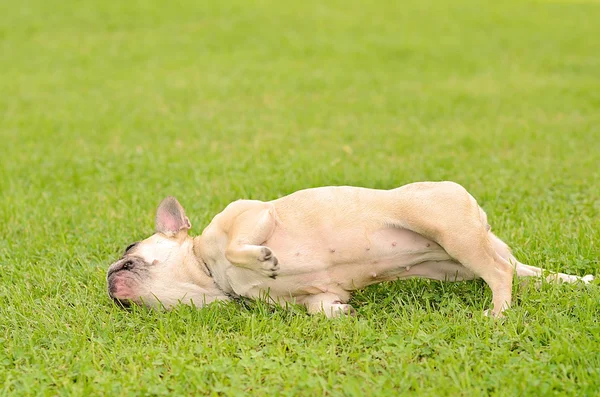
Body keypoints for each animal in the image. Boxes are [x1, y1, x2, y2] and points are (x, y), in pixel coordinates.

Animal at [105, 182, 592, 316]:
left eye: (129, 249)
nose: (108, 274)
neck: (211, 274)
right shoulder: (317, 295)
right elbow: (322, 307)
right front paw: (343, 315)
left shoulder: (251, 216)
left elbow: (244, 244)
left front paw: (263, 260)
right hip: (454, 264)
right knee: (512, 269)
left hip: (451, 231)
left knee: (499, 272)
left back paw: (499, 312)